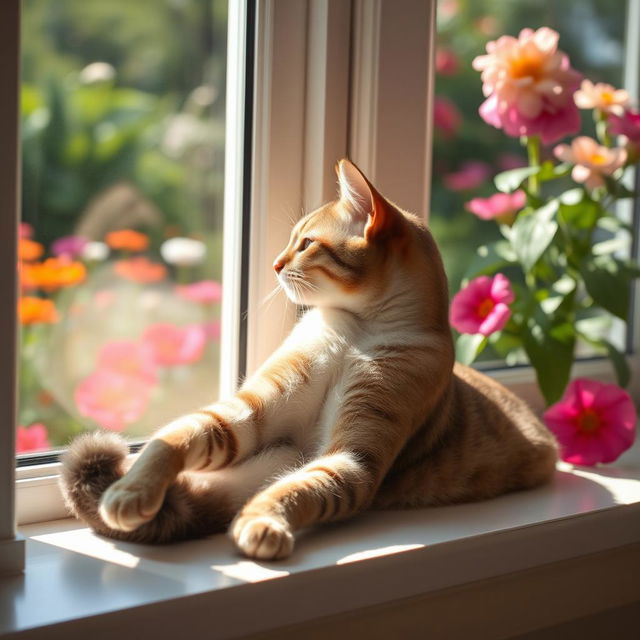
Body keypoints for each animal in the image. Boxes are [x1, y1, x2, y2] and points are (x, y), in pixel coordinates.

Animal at [61, 158, 560, 556]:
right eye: (292, 242)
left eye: (305, 244)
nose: (275, 265)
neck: (355, 332)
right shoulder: (247, 415)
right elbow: (175, 438)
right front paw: (131, 491)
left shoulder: (350, 459)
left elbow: (297, 490)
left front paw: (262, 523)